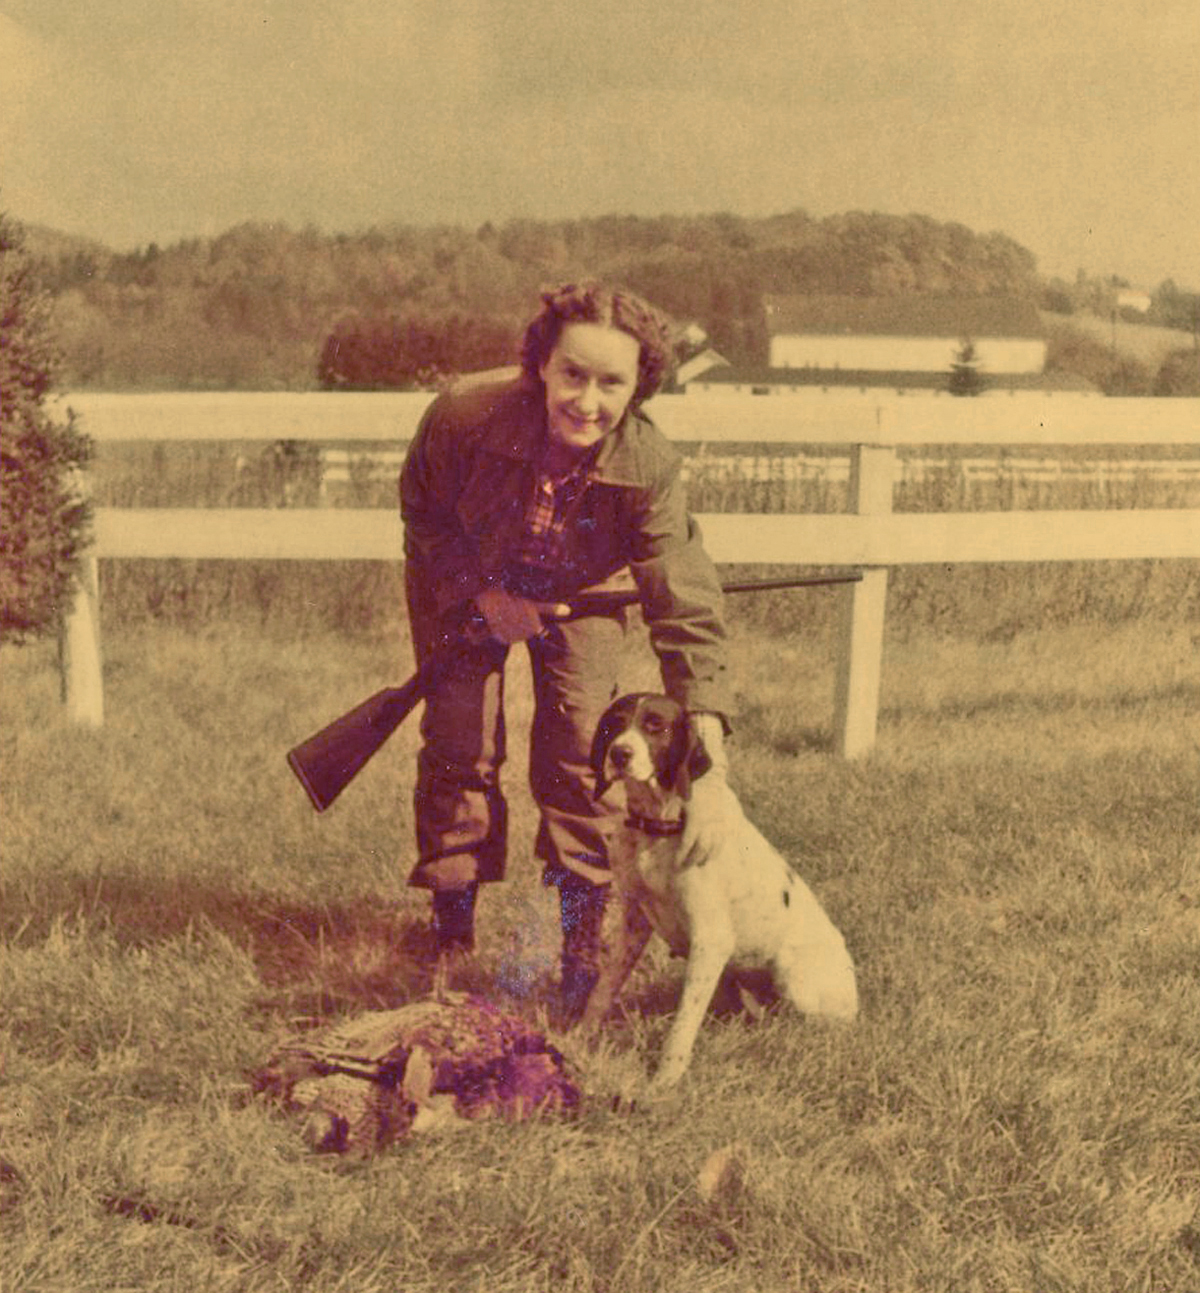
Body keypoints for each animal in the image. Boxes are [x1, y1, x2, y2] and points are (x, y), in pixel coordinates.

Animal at [579, 693, 853, 1086]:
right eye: (615, 723)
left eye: (655, 725)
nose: (619, 754)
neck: (658, 829)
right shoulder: (635, 921)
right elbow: (604, 988)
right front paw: (579, 1038)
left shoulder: (711, 942)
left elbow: (681, 1026)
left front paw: (665, 1080)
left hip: (792, 976)